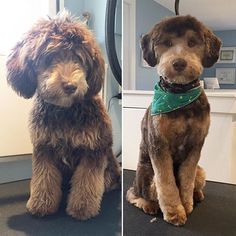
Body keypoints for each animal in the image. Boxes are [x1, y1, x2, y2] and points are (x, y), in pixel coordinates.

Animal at [6, 12, 121, 219]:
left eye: (80, 58)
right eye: (50, 56)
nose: (70, 86)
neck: (65, 110)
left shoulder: (93, 148)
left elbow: (86, 181)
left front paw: (82, 208)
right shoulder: (44, 147)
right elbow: (44, 178)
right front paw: (41, 204)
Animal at [127, 15, 221, 226]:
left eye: (192, 43)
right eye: (167, 43)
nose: (178, 63)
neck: (180, 96)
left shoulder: (196, 144)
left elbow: (186, 179)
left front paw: (186, 204)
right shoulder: (158, 144)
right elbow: (167, 183)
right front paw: (174, 212)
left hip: (201, 172)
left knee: (195, 181)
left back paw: (197, 194)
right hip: (145, 175)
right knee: (134, 195)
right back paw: (148, 204)